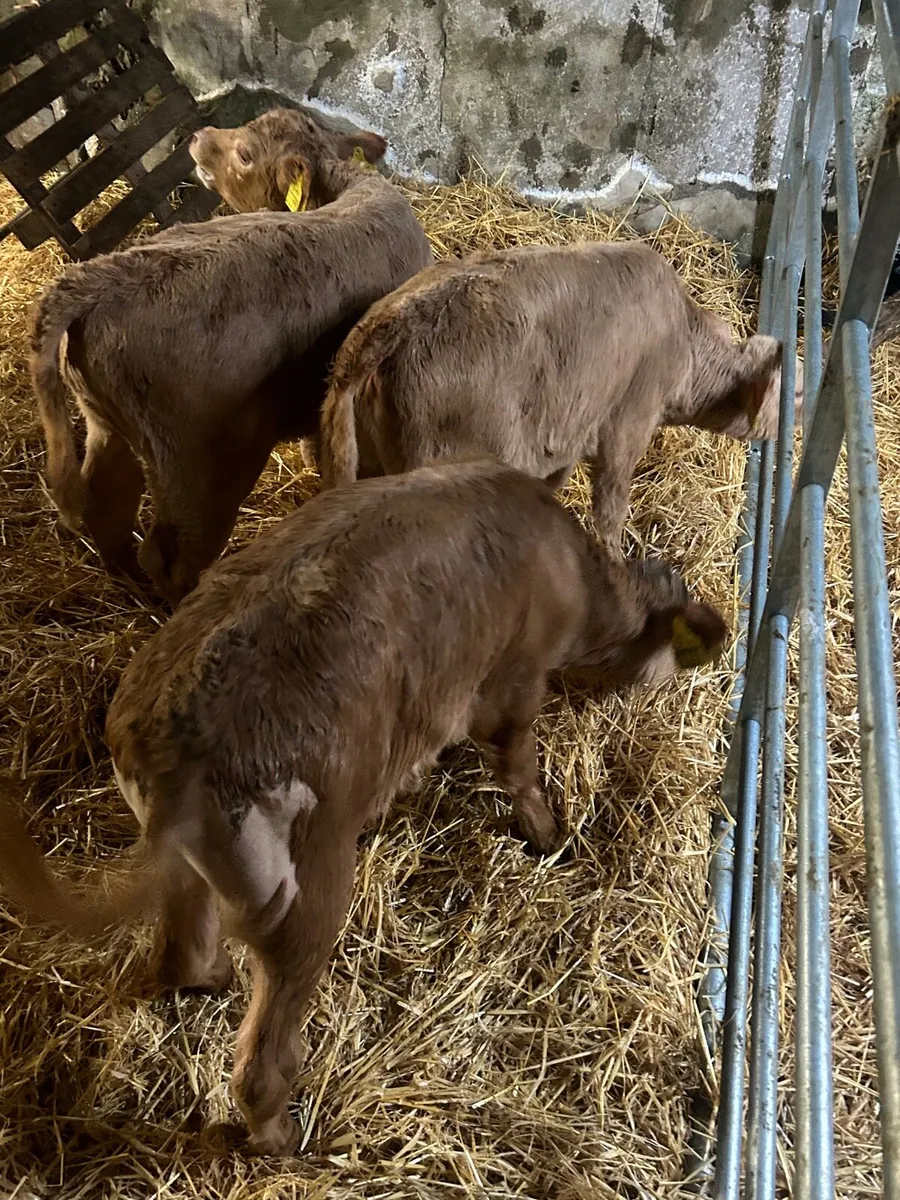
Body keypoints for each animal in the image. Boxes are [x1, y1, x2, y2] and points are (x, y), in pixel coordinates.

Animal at [0, 458, 729, 1156]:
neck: (577, 577)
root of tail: (180, 754)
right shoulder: (513, 679)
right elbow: (517, 757)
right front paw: (550, 834)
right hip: (303, 891)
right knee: (259, 1057)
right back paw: (286, 1144)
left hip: (191, 866)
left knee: (182, 952)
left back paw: (217, 981)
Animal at [29, 106, 432, 605]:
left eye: (244, 154)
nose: (199, 134)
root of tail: (105, 273)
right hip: (202, 468)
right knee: (171, 557)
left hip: (110, 427)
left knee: (109, 509)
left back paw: (134, 590)